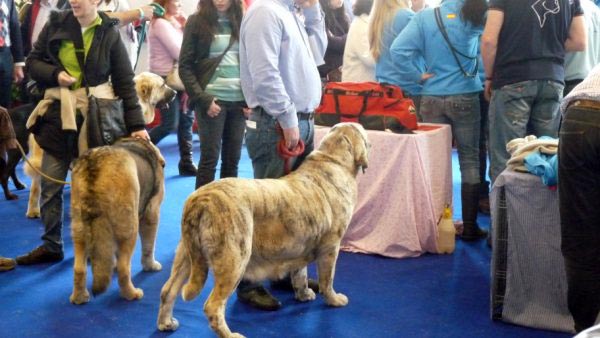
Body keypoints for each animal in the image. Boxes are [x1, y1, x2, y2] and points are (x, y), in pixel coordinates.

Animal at [157, 122, 368, 338]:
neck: (332, 160)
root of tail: (200, 200)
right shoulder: (331, 247)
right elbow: (328, 279)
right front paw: (334, 299)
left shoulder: (301, 244)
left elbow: (299, 274)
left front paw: (304, 294)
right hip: (234, 259)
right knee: (213, 306)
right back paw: (231, 335)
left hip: (187, 254)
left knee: (168, 290)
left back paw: (166, 323)